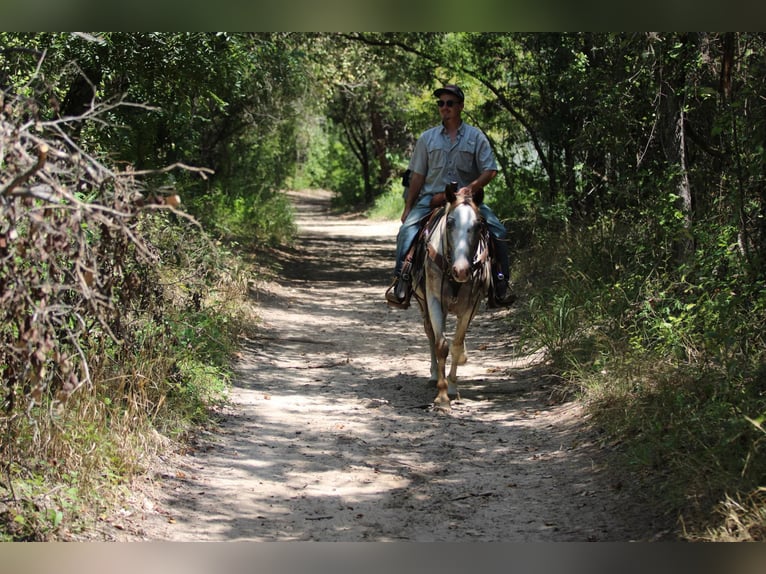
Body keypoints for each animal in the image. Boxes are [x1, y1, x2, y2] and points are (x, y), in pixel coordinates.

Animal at [411, 182, 491, 408]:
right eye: (449, 223)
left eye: (478, 225)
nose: (461, 270)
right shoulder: (434, 301)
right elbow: (441, 345)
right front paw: (441, 396)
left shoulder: (471, 305)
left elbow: (455, 344)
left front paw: (453, 388)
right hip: (423, 303)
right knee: (430, 334)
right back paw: (433, 375)